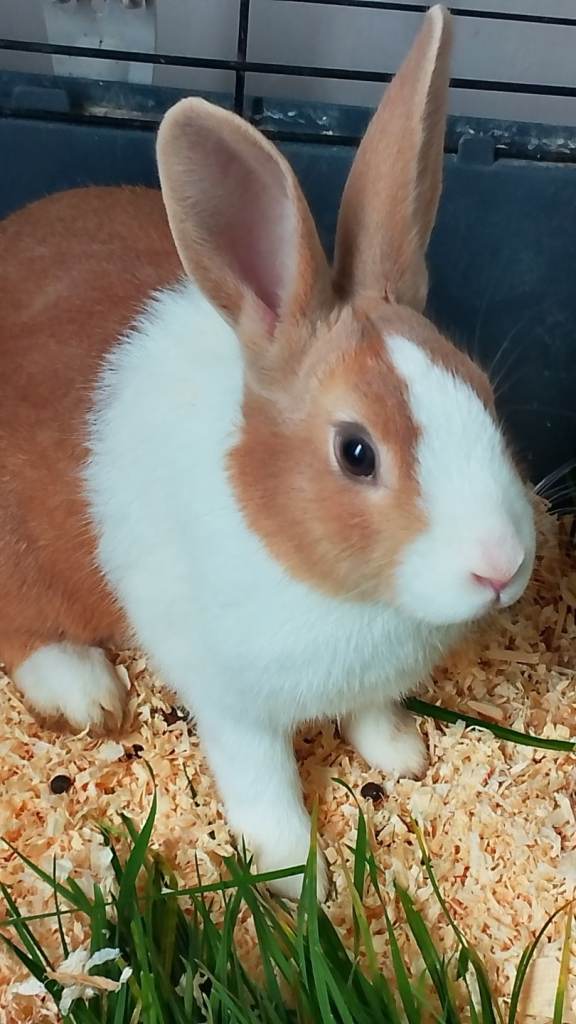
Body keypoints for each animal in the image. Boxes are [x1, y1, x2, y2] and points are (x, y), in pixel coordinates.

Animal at [0, 4, 535, 900]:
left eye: (486, 396)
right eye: (356, 452)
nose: (501, 568)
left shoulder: (370, 684)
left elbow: (373, 715)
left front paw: (403, 755)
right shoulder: (233, 708)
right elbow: (263, 787)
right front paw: (299, 875)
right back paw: (84, 690)